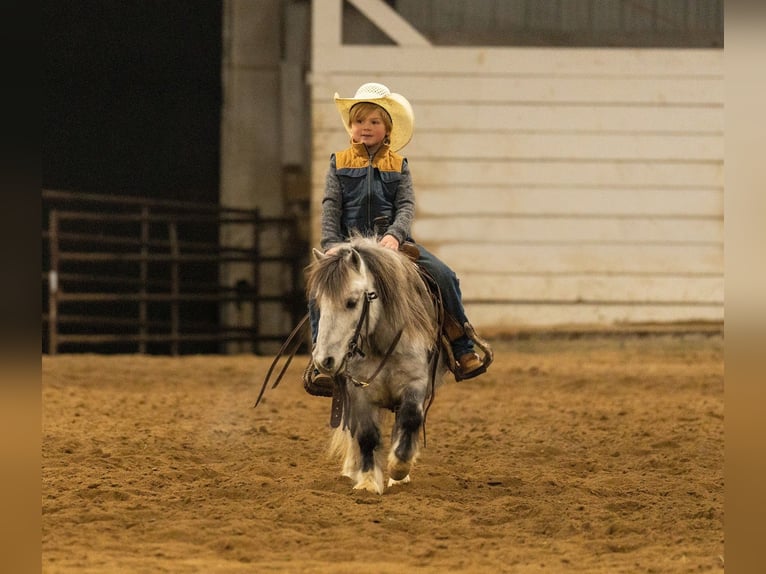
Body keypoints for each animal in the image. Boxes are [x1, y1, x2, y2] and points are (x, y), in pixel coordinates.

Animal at [306, 235, 448, 494]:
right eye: (319, 303)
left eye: (352, 302)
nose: (324, 360)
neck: (383, 344)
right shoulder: (359, 392)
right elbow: (366, 435)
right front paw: (367, 482)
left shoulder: (416, 382)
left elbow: (410, 418)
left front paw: (399, 469)